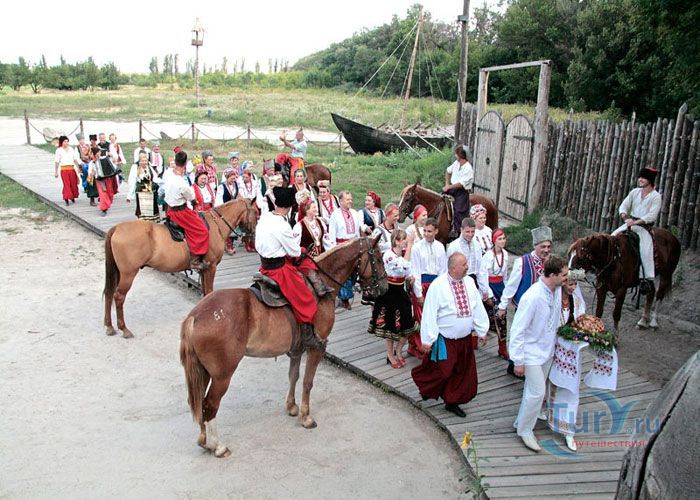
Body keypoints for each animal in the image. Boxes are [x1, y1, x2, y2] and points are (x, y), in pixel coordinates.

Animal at [103, 200, 258, 338]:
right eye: (256, 213)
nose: (253, 237)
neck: (216, 225)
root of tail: (116, 228)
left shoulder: (204, 270)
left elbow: (204, 292)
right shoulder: (211, 267)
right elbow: (209, 292)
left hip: (118, 272)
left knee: (109, 294)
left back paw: (109, 326)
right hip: (128, 274)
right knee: (118, 296)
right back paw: (124, 328)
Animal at [179, 235, 387, 457]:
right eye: (379, 259)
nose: (384, 288)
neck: (323, 285)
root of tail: (195, 316)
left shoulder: (297, 349)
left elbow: (293, 376)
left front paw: (292, 406)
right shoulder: (318, 347)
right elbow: (307, 382)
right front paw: (306, 416)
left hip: (203, 371)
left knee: (198, 400)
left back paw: (203, 440)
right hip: (222, 375)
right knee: (210, 404)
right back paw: (216, 445)